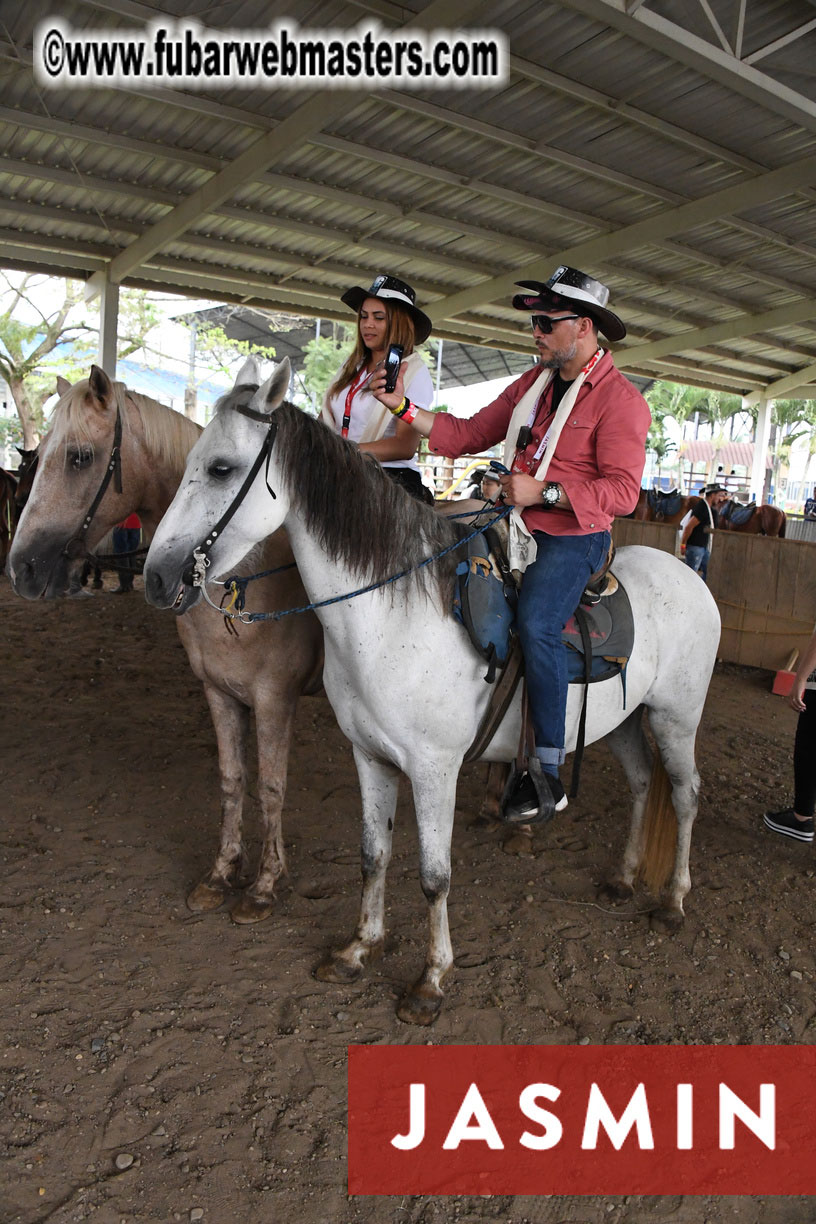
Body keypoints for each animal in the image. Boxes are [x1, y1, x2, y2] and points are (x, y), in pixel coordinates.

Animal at [9, 364, 322, 925]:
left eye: (79, 456)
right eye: (36, 457)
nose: (20, 568)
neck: (244, 572)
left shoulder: (274, 700)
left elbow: (271, 786)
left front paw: (265, 885)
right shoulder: (219, 693)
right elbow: (231, 779)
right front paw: (221, 874)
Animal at [143, 357, 719, 1028]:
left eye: (220, 468)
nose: (157, 576)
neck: (393, 615)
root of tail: (687, 576)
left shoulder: (433, 768)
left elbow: (434, 875)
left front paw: (431, 980)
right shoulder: (369, 756)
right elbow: (373, 854)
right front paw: (357, 950)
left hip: (677, 717)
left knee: (684, 795)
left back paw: (673, 902)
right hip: (627, 719)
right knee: (642, 785)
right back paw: (623, 879)